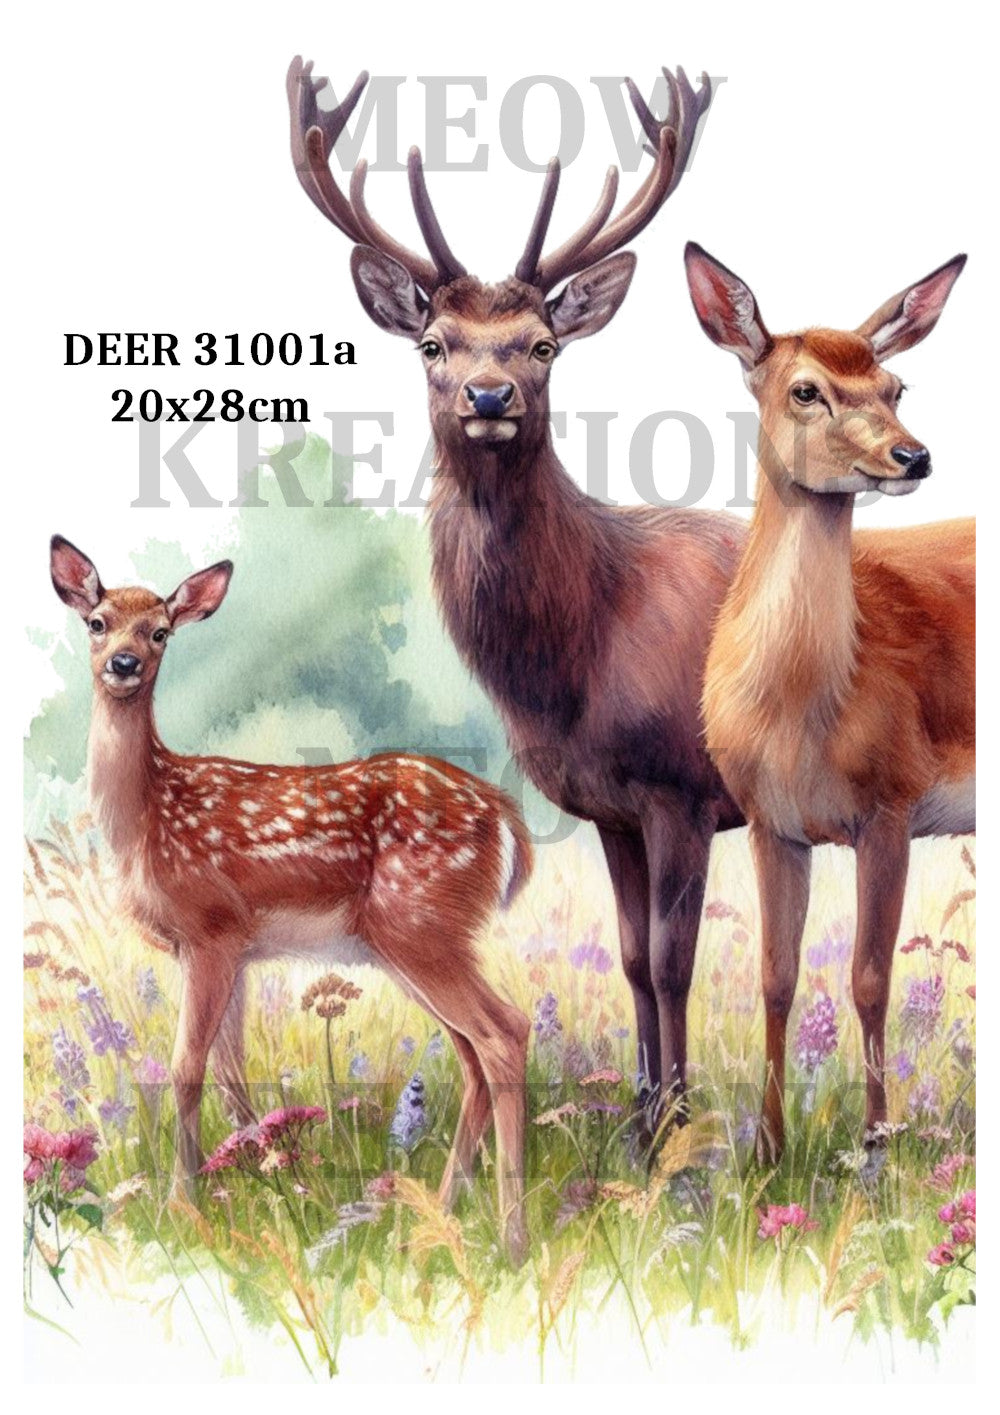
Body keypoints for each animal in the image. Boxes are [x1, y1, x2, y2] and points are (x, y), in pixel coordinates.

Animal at [49, 535, 534, 1263]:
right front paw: (266, 1179)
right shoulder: (229, 950)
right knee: (473, 1055)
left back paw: (511, 1241)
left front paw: (182, 1207)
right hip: (414, 941)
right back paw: (438, 1220)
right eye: (96, 622)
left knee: (505, 1032)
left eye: (160, 630)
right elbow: (231, 1074)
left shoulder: (212, 929)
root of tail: (504, 815)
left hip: (419, 926)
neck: (147, 820)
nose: (123, 665)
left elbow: (187, 1068)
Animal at [684, 243, 975, 1159]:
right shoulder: (772, 822)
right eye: (806, 388)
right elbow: (777, 977)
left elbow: (871, 976)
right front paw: (768, 1148)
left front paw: (878, 1138)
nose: (913, 456)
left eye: (895, 384)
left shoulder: (891, 804)